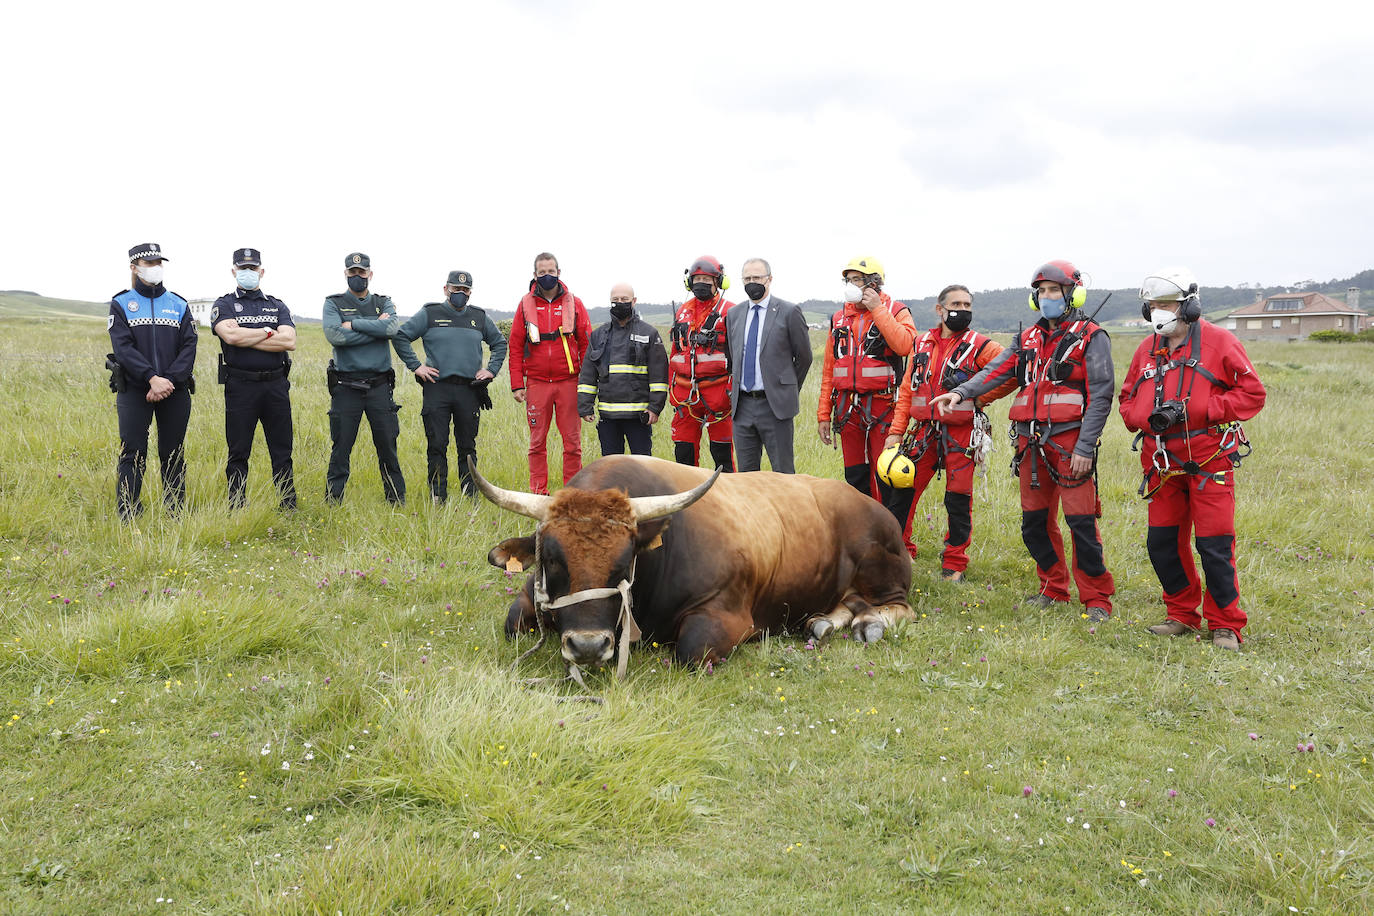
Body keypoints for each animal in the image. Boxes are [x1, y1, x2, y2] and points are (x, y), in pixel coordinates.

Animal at [472, 455, 912, 670]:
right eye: (550, 559)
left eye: (625, 563)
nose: (587, 646)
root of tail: (873, 504)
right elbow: (513, 621)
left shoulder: (725, 615)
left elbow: (691, 651)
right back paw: (822, 623)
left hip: (881, 572)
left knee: (896, 606)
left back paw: (869, 624)